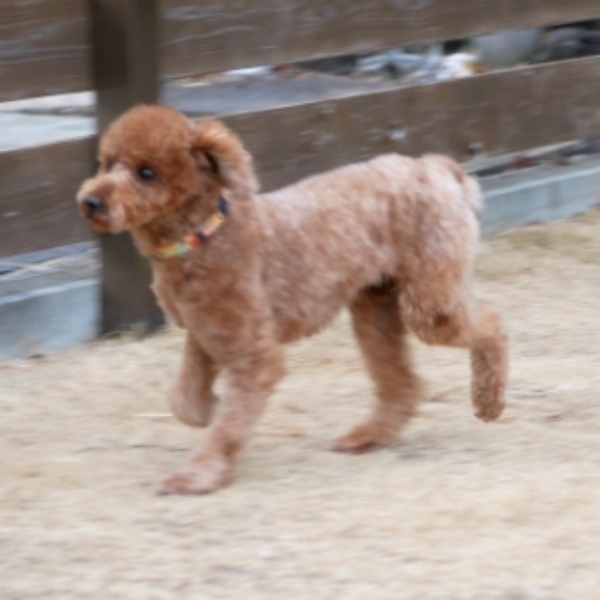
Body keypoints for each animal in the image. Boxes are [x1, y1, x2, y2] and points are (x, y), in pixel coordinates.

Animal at [77, 105, 508, 495]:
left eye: (146, 172)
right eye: (107, 163)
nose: (91, 201)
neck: (203, 236)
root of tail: (438, 169)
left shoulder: (254, 354)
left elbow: (227, 424)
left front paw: (197, 475)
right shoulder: (204, 336)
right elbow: (185, 400)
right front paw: (212, 409)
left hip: (429, 302)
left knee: (491, 323)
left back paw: (488, 402)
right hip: (375, 307)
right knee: (402, 383)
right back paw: (369, 436)